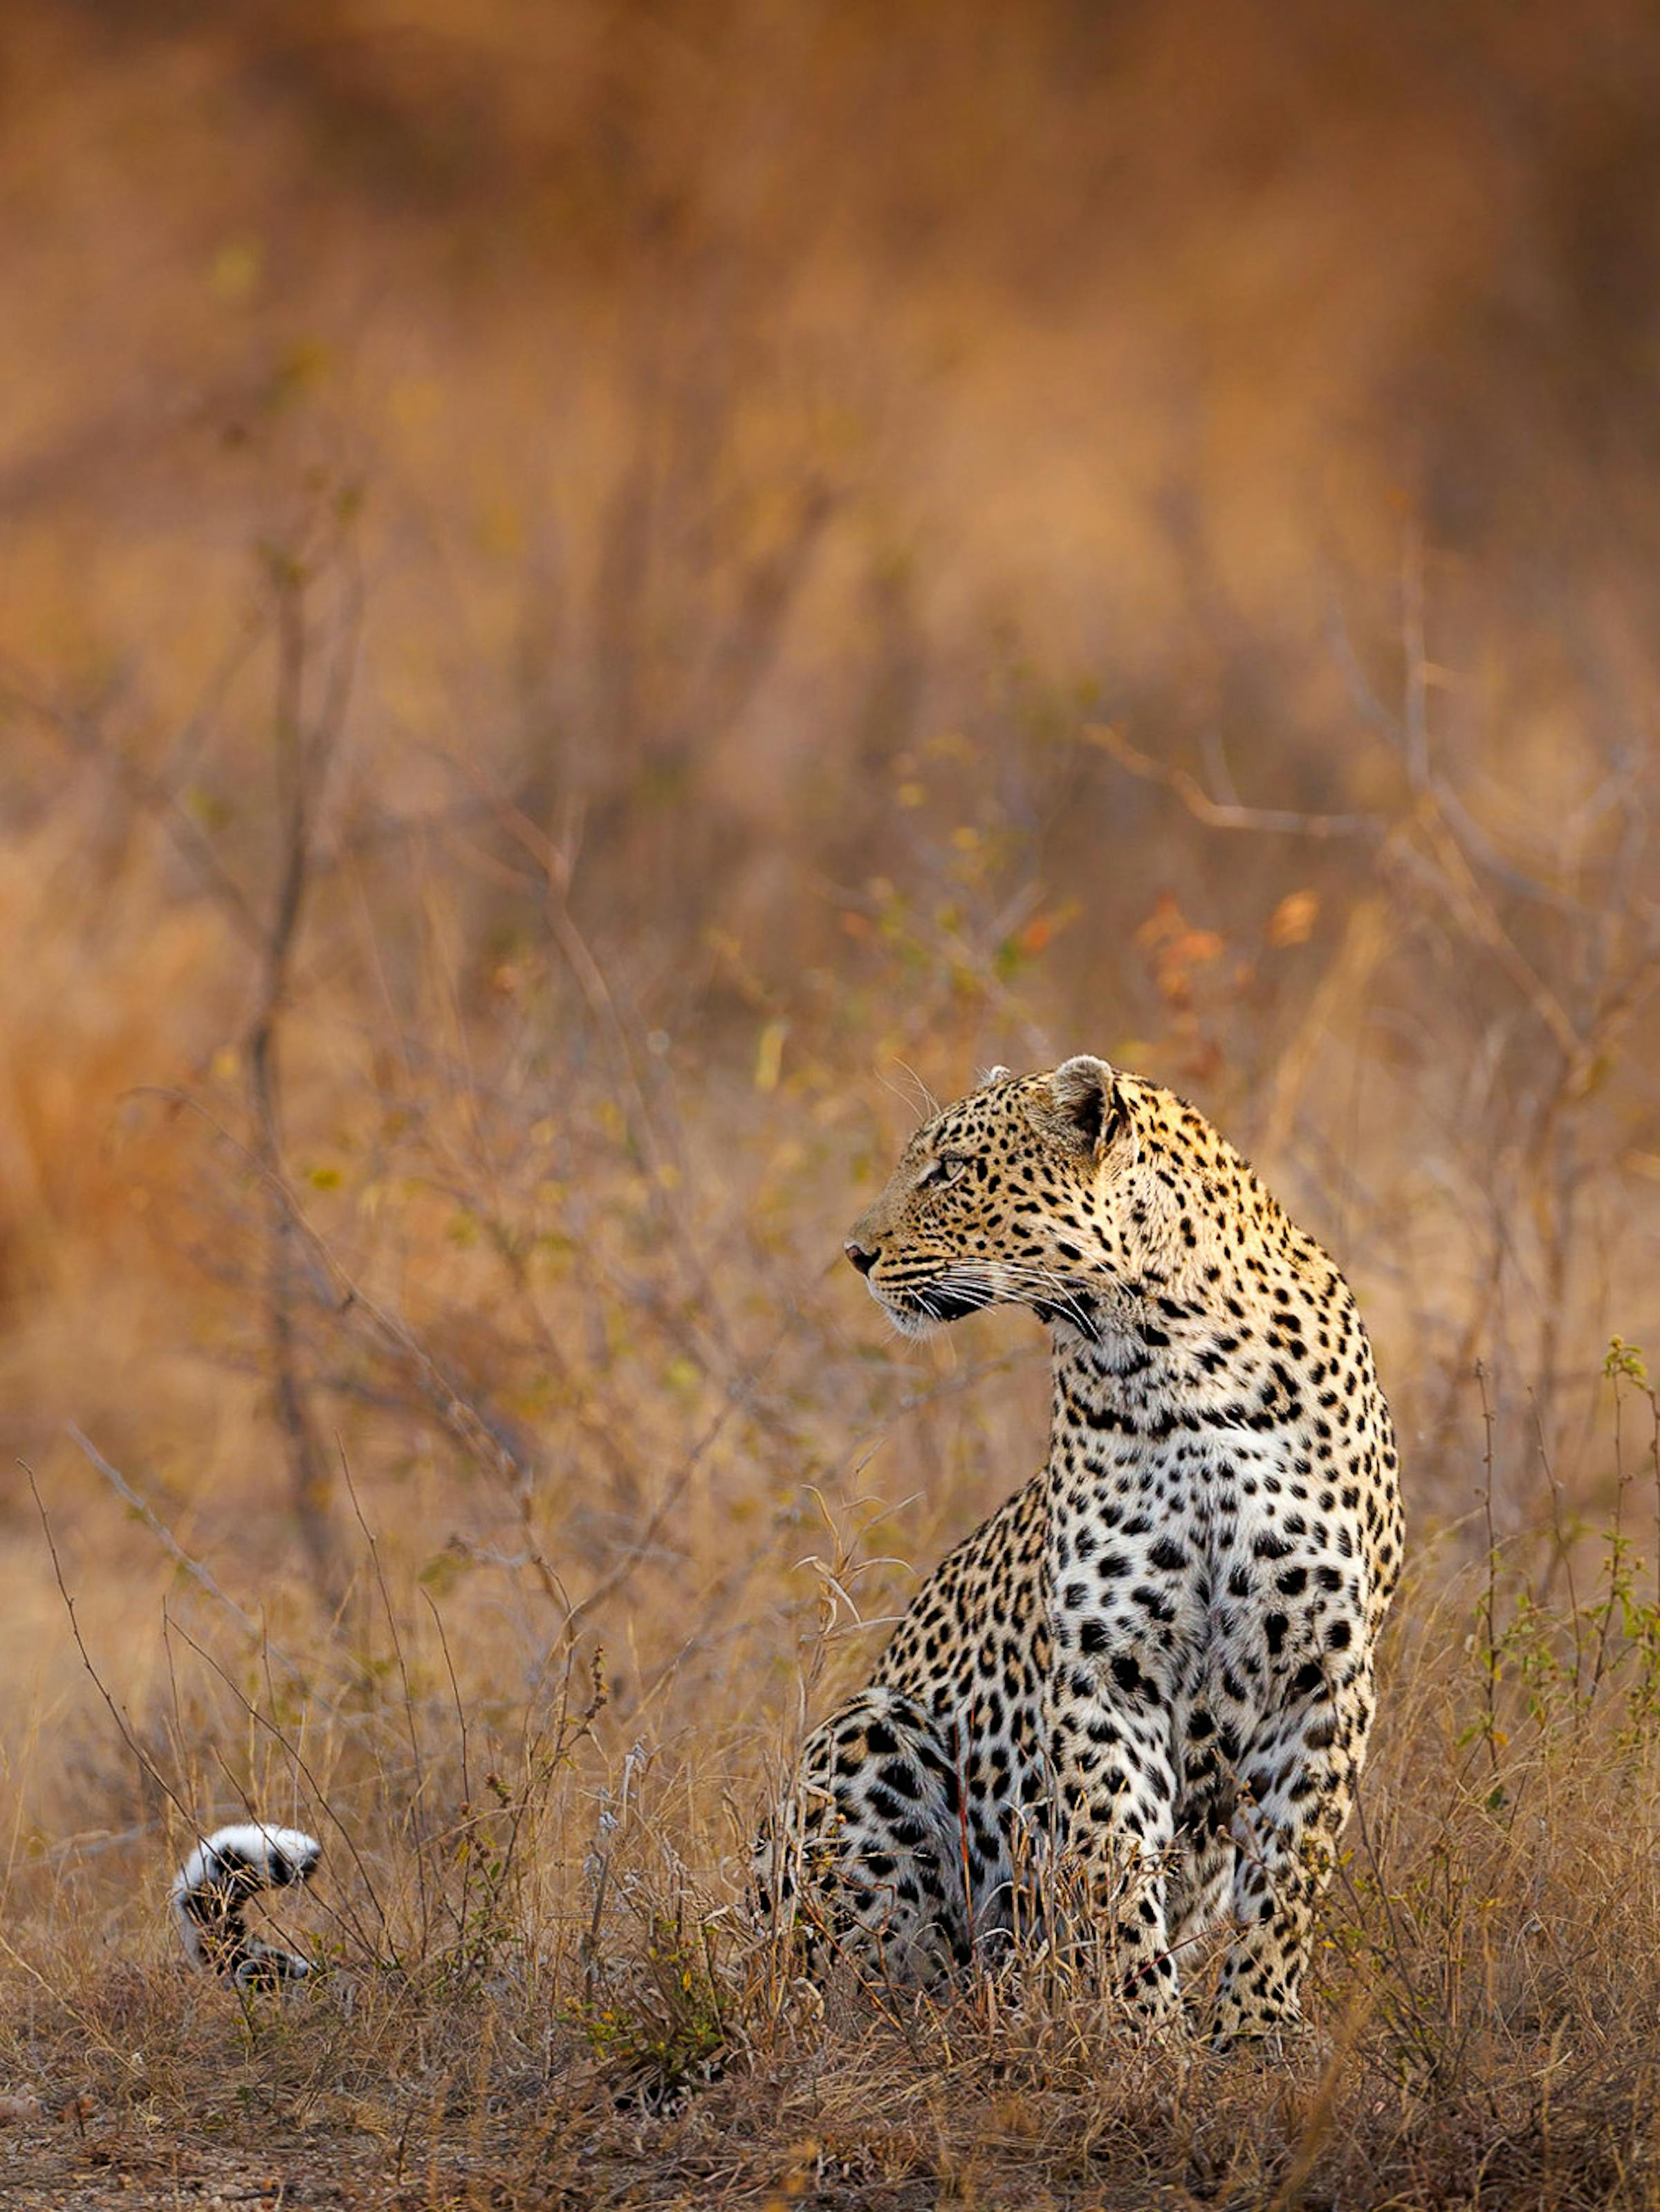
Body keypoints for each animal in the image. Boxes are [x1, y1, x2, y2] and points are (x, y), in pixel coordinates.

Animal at [761, 1055, 1401, 2045]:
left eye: (949, 1169)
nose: (854, 1254)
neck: (1175, 1361)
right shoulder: (1106, 1667)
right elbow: (1113, 1862)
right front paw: (1146, 2033)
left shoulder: (1324, 1669)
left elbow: (1291, 1872)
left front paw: (1254, 2030)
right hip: (871, 1729)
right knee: (856, 1972)